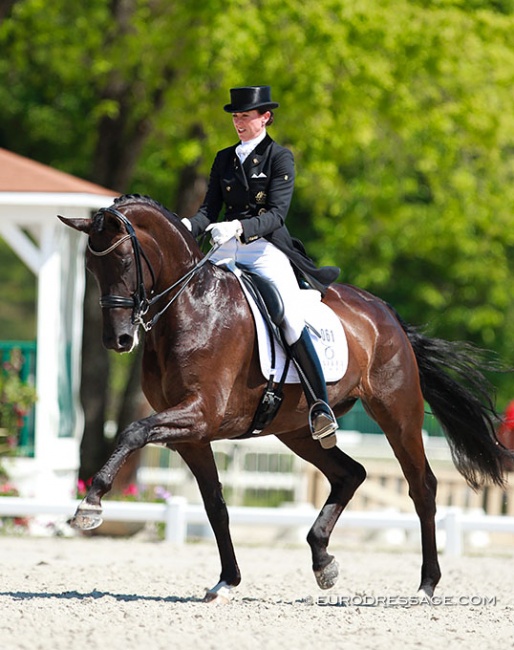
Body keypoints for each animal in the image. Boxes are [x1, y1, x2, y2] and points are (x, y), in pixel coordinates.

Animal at [57, 194, 512, 604]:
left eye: (124, 262)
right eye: (90, 267)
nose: (118, 340)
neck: (191, 307)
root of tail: (384, 311)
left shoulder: (201, 414)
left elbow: (133, 431)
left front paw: (91, 503)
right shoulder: (191, 435)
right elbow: (215, 504)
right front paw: (227, 581)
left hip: (397, 413)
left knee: (422, 487)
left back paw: (426, 584)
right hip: (297, 429)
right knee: (351, 474)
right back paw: (322, 560)